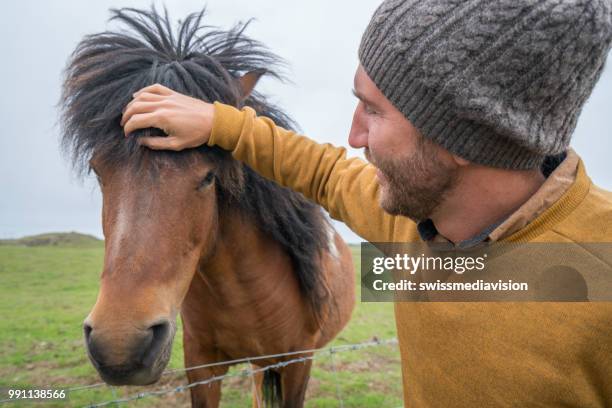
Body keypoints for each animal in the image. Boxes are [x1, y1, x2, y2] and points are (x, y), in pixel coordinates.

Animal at [59, 7, 356, 408]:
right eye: (97, 170)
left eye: (209, 176)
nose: (120, 343)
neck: (243, 296)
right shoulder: (201, 367)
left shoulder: (297, 362)